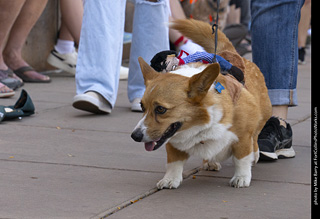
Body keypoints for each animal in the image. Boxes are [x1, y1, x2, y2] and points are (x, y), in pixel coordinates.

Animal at [131, 19, 272, 189]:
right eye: (142, 107)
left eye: (161, 109)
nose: (135, 136)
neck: (199, 123)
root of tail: (232, 53)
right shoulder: (172, 141)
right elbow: (173, 163)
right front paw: (170, 179)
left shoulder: (243, 136)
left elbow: (242, 159)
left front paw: (241, 177)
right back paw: (210, 162)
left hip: (263, 116)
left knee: (256, 136)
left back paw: (255, 154)